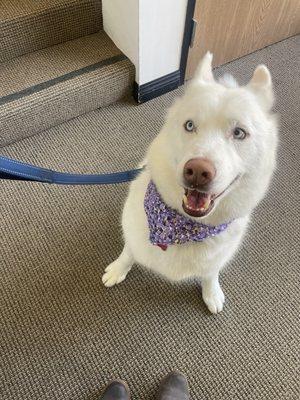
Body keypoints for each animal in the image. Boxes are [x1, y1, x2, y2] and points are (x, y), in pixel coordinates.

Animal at [102, 53, 278, 314]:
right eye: (190, 125)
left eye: (239, 133)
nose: (197, 171)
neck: (183, 227)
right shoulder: (133, 235)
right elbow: (128, 253)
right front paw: (118, 269)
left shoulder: (216, 259)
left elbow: (210, 273)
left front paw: (211, 293)